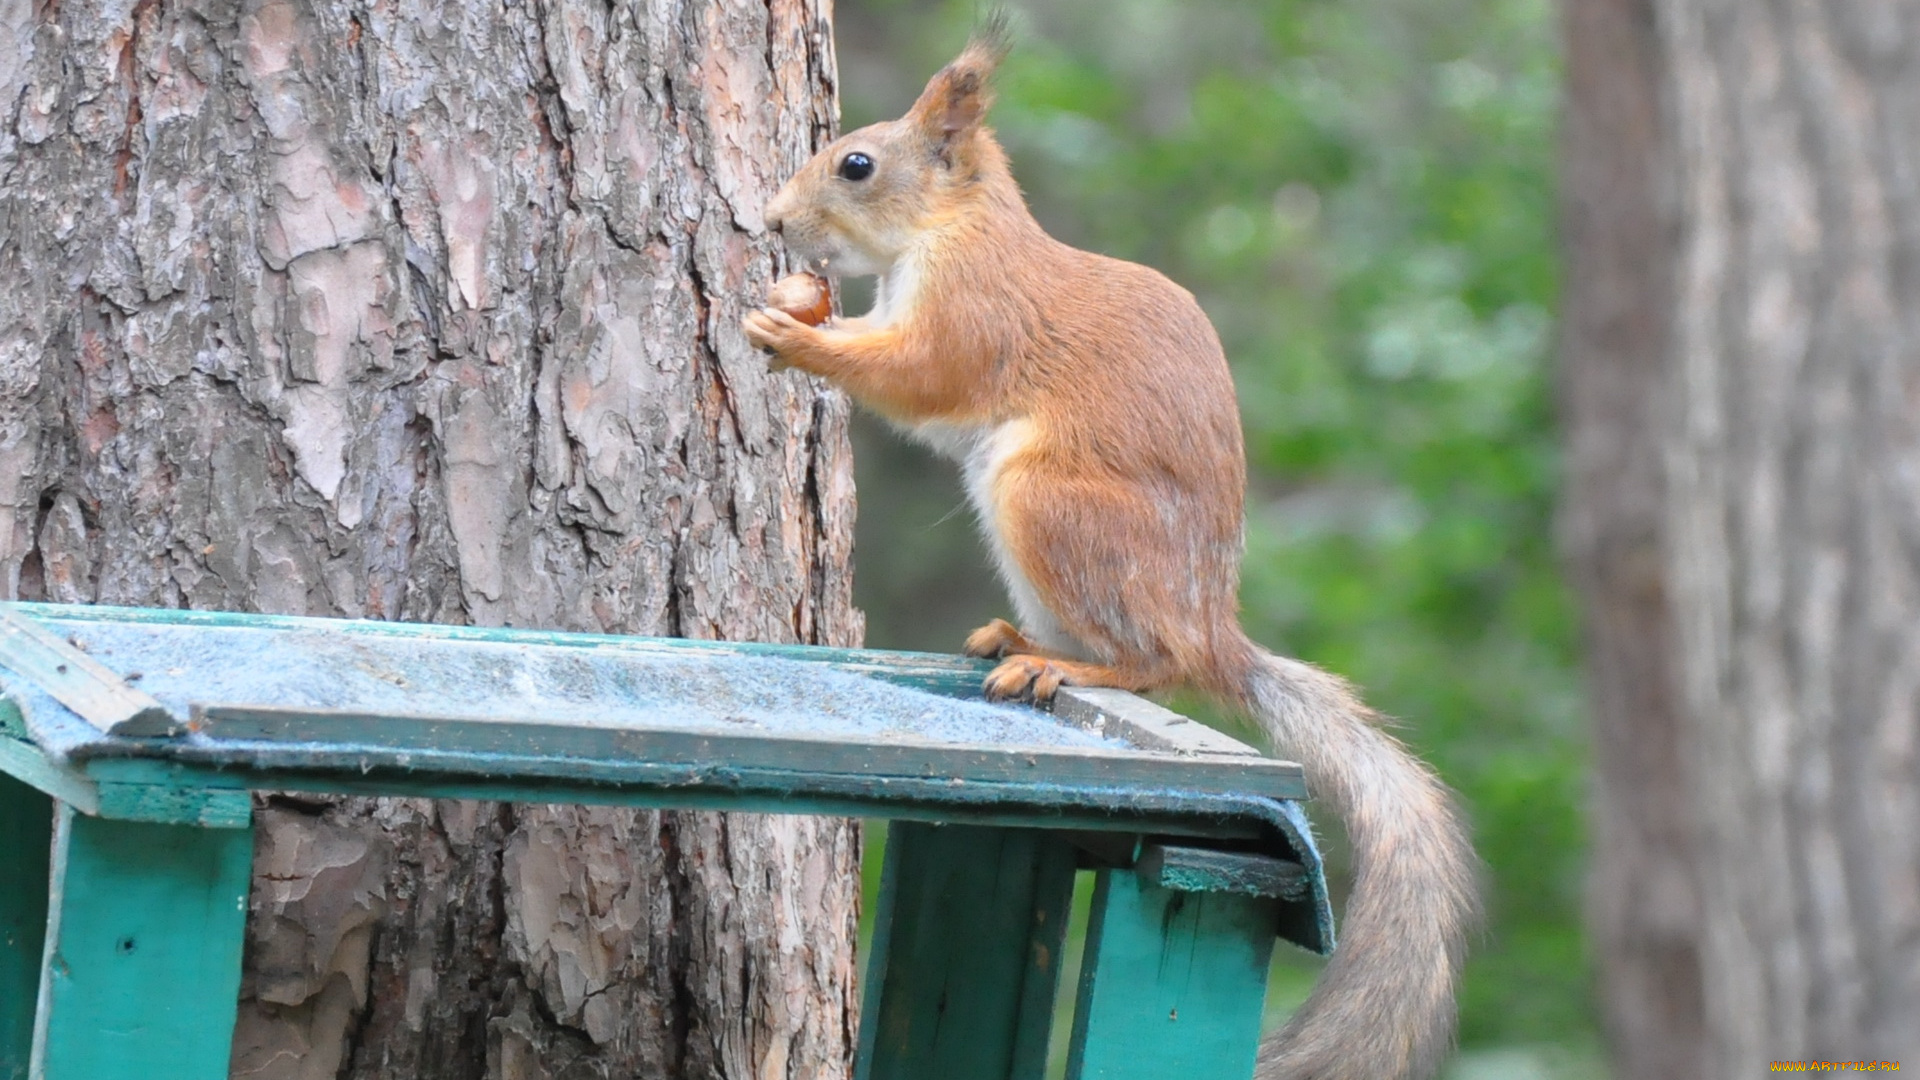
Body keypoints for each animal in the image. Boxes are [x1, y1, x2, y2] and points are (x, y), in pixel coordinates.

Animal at [741, 18, 1474, 1076]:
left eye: (857, 164)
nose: (770, 221)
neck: (953, 229)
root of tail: (1214, 631)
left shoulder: (975, 309)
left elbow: (922, 372)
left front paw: (796, 339)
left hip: (1048, 505)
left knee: (1155, 663)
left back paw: (1068, 666)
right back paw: (1019, 643)